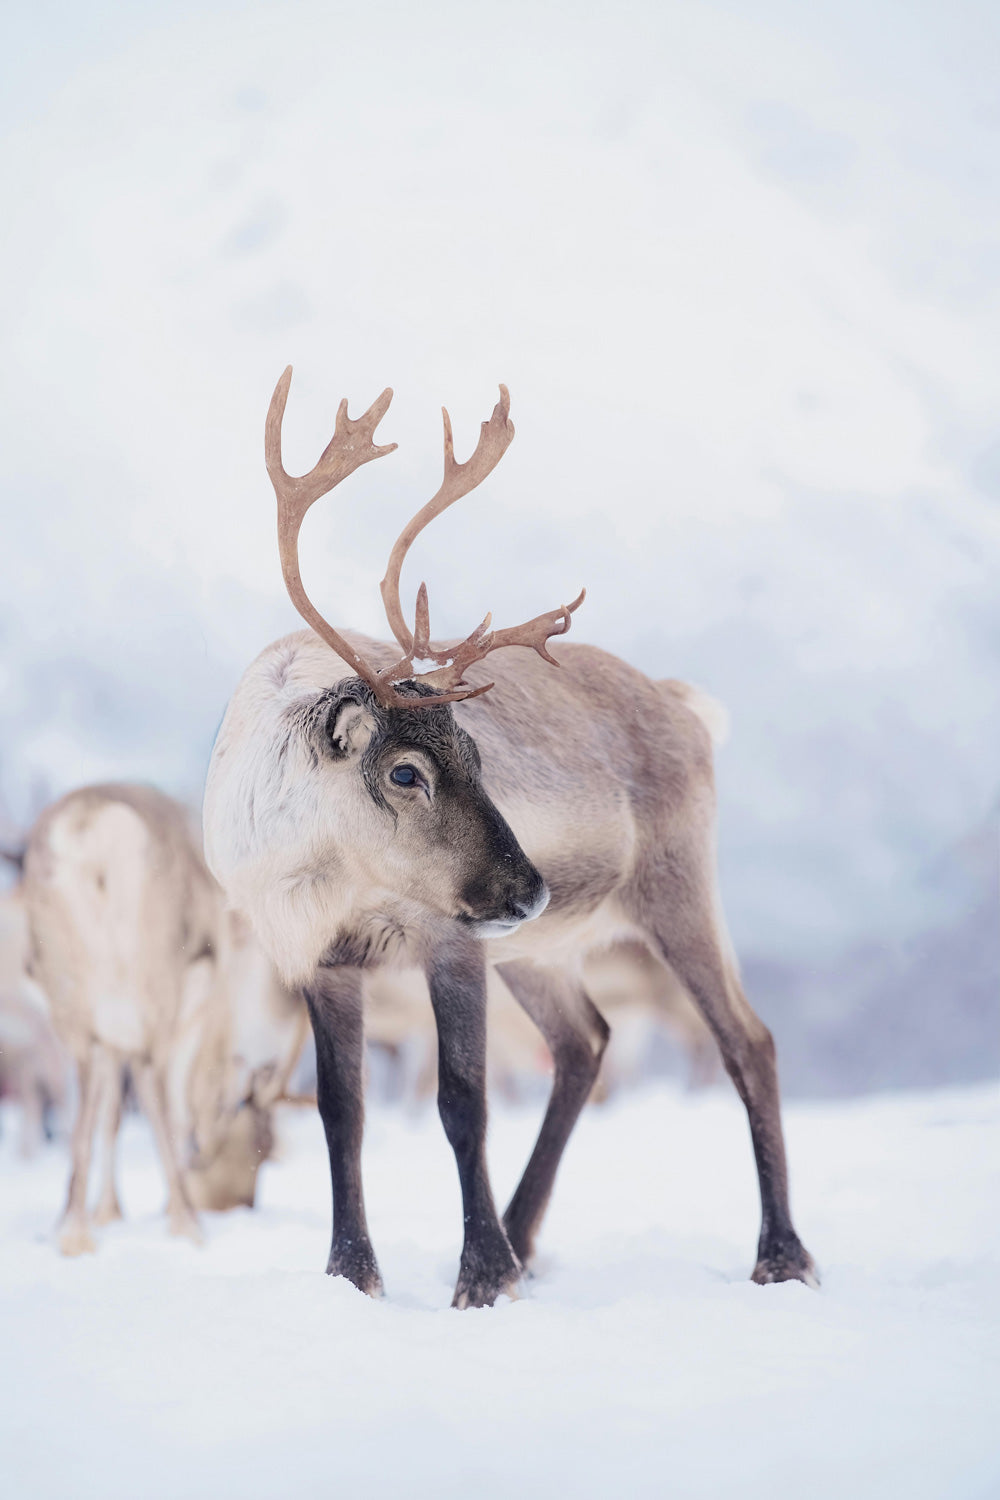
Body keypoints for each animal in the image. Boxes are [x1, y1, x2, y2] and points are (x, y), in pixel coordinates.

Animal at [21, 783, 306, 1254]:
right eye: (258, 1151)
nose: (240, 1205)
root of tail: (90, 830)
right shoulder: (198, 1002)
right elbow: (176, 1105)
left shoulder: (112, 1031)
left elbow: (111, 1114)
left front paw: (107, 1212)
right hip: (154, 988)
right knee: (152, 1086)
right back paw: (187, 1222)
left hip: (72, 1000)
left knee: (88, 1092)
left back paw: (74, 1229)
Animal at [203, 370, 817, 1308]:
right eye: (406, 772)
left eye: (477, 751)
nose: (530, 890)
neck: (326, 873)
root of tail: (685, 706)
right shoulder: (320, 959)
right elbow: (343, 1111)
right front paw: (353, 1273)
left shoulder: (449, 940)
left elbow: (464, 1102)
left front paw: (482, 1277)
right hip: (538, 951)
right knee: (585, 1042)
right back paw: (528, 1236)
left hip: (675, 889)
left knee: (748, 1039)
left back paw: (781, 1254)